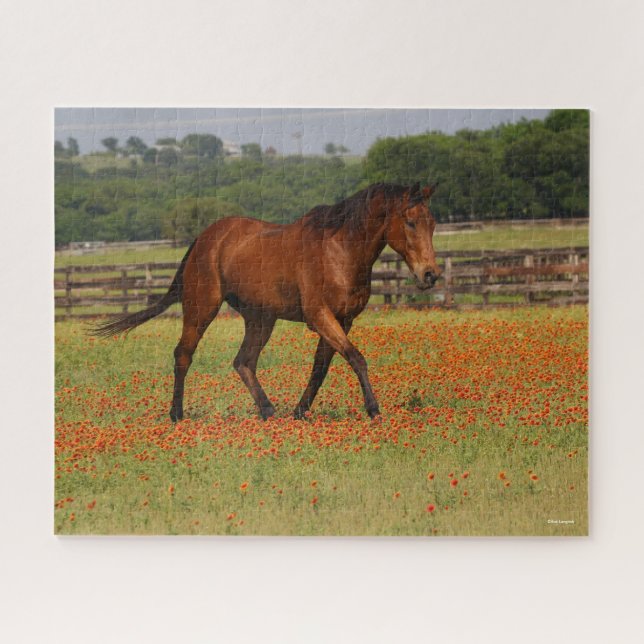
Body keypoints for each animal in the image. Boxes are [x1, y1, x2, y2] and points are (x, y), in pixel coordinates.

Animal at [93, 182, 441, 421]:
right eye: (410, 222)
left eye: (433, 222)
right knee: (184, 355)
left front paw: (300, 412)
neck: (339, 250)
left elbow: (321, 367)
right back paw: (177, 415)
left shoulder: (343, 319)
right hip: (201, 309)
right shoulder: (320, 316)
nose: (430, 274)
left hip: (260, 319)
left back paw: (268, 411)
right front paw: (374, 410)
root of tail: (205, 238)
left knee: (243, 362)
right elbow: (356, 358)